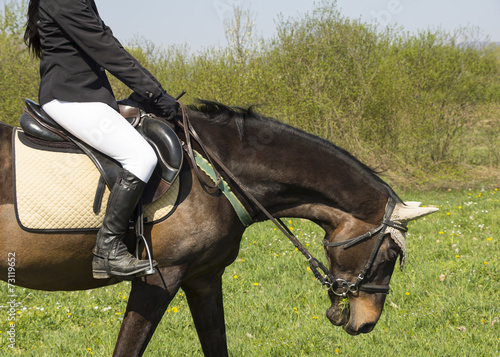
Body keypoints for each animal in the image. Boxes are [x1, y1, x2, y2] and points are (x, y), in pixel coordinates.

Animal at [0, 101, 436, 354]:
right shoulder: (160, 278)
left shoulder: (204, 278)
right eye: (390, 253)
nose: (367, 323)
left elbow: (216, 344)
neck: (216, 175)